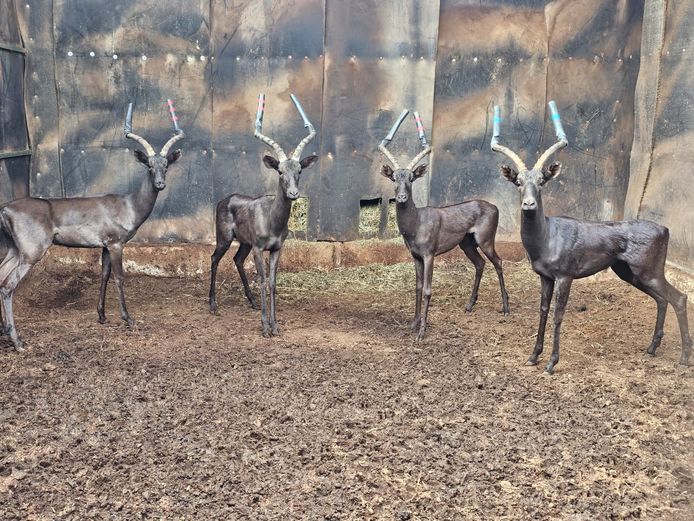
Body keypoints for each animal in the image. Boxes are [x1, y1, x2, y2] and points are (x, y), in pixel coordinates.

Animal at [0, 101, 184, 350]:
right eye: (148, 165)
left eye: (166, 165)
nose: (160, 184)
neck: (129, 205)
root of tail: (5, 209)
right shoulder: (116, 244)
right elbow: (119, 277)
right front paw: (128, 318)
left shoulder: (104, 246)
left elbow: (104, 275)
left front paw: (102, 316)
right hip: (30, 253)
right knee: (8, 286)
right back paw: (18, 342)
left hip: (13, 250)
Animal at [209, 94, 318, 337]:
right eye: (280, 171)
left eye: (299, 170)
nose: (293, 193)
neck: (271, 221)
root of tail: (224, 199)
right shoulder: (259, 249)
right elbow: (261, 280)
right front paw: (265, 327)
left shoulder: (276, 249)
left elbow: (273, 282)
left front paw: (275, 326)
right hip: (225, 238)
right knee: (214, 258)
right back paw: (212, 305)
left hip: (244, 244)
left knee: (237, 260)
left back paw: (252, 302)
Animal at [379, 110, 510, 341]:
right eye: (394, 177)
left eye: (411, 178)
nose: (402, 197)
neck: (416, 224)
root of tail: (494, 207)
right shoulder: (415, 256)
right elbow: (417, 287)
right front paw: (413, 324)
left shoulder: (429, 254)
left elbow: (428, 290)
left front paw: (422, 332)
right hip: (467, 244)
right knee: (480, 264)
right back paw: (469, 305)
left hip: (486, 240)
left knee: (499, 262)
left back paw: (505, 308)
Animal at [493, 101, 691, 373]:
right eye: (518, 182)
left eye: (542, 180)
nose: (529, 204)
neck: (546, 239)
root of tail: (666, 230)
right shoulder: (545, 276)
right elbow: (543, 310)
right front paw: (533, 356)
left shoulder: (565, 275)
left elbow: (558, 314)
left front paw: (552, 363)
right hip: (630, 273)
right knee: (662, 299)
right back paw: (651, 348)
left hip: (649, 271)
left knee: (679, 297)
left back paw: (684, 357)